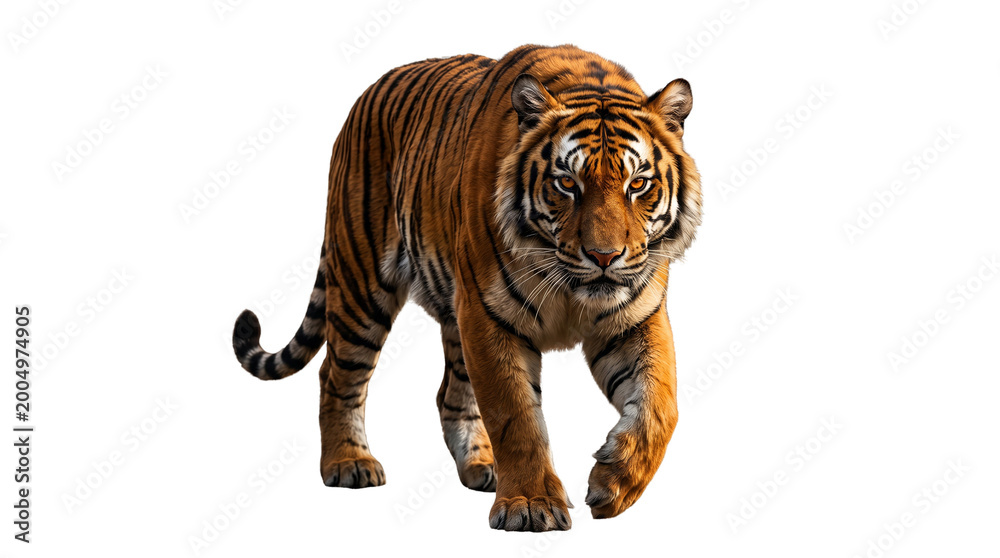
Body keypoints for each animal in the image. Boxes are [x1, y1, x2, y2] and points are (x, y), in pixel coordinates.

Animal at [231, 44, 702, 532]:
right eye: (567, 183)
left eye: (638, 184)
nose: (604, 257)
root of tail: (367, 94)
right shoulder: (489, 315)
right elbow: (514, 414)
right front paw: (530, 505)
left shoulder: (635, 319)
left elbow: (661, 406)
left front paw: (615, 483)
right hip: (362, 285)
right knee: (337, 373)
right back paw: (348, 463)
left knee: (449, 394)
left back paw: (482, 465)